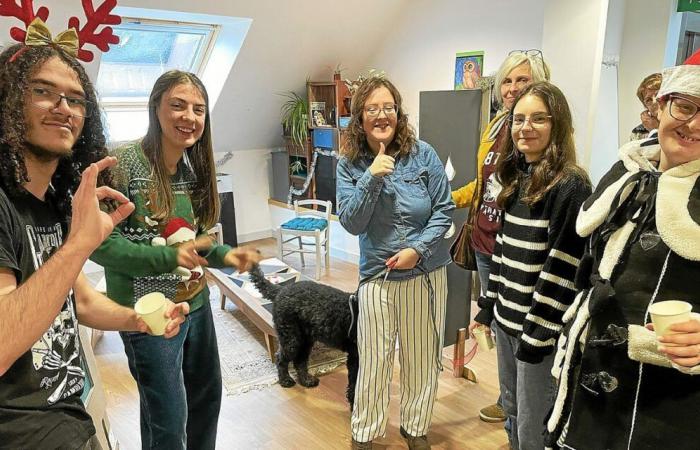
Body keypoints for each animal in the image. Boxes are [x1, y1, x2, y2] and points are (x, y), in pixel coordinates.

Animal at [249, 264, 358, 408]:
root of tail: (281, 289)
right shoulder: (355, 358)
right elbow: (354, 385)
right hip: (291, 340)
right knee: (280, 358)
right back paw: (285, 380)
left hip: (305, 340)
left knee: (299, 361)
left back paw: (306, 380)